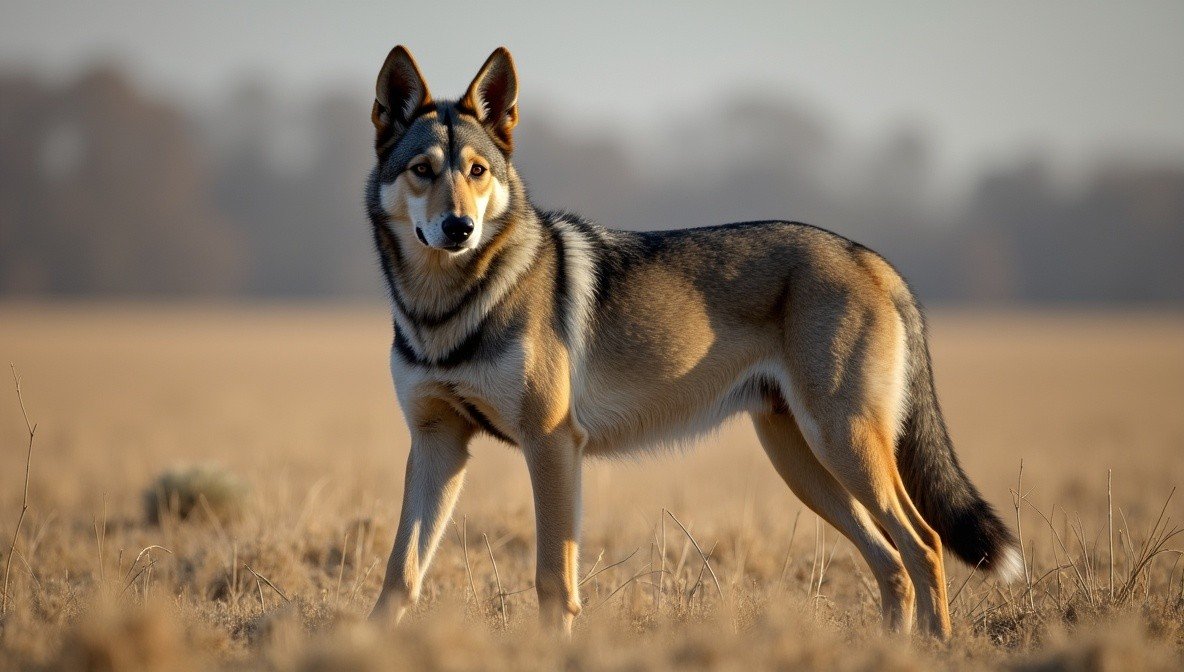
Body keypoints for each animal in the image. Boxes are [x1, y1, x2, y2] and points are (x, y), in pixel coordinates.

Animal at [364, 45, 1021, 638]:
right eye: (423, 170)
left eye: (477, 171)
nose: (459, 228)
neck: (444, 311)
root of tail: (871, 259)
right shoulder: (438, 442)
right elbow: (401, 572)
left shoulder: (551, 442)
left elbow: (552, 579)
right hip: (805, 464)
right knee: (892, 563)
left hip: (843, 445)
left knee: (924, 544)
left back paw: (934, 647)